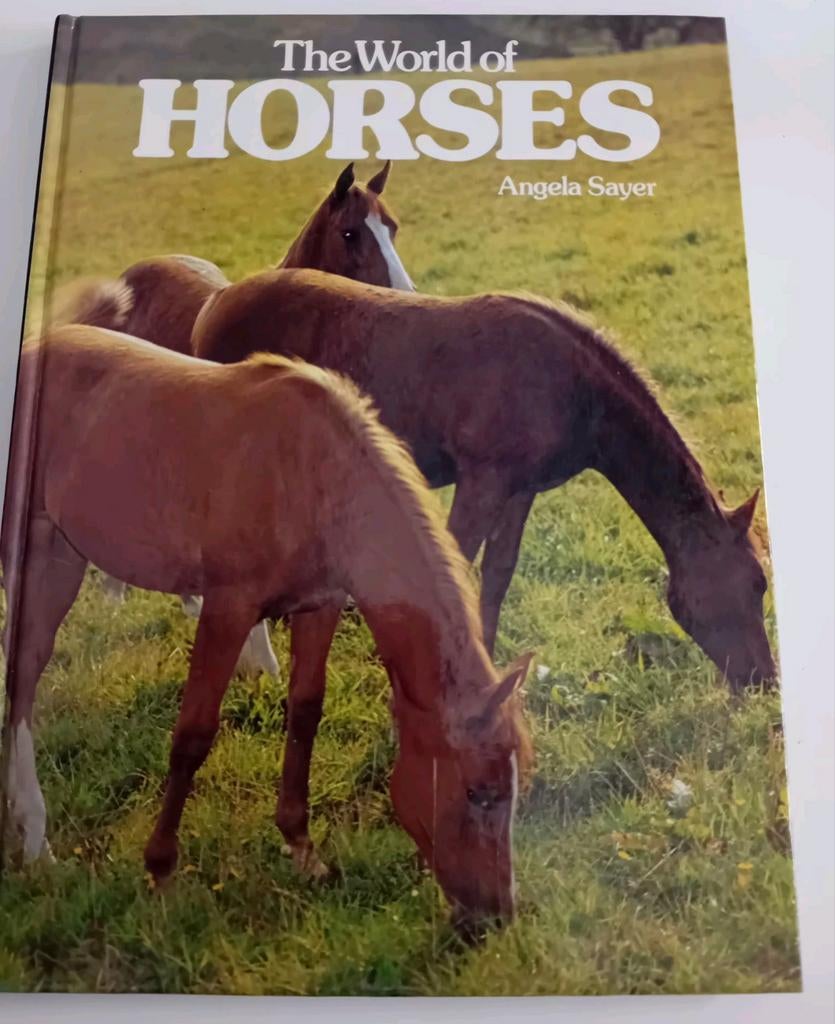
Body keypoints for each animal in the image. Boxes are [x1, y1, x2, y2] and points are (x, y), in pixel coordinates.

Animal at [0, 326, 531, 935]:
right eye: (479, 793)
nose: (495, 915)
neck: (313, 473)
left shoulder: (320, 606)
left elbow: (305, 711)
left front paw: (301, 846)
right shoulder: (228, 609)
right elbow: (193, 735)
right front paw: (161, 868)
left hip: (62, 554)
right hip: (32, 553)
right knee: (24, 673)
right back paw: (35, 835)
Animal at [192, 268, 776, 692]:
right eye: (754, 583)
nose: (763, 681)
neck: (569, 385)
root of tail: (214, 304)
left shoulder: (519, 490)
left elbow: (497, 575)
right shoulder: (481, 481)